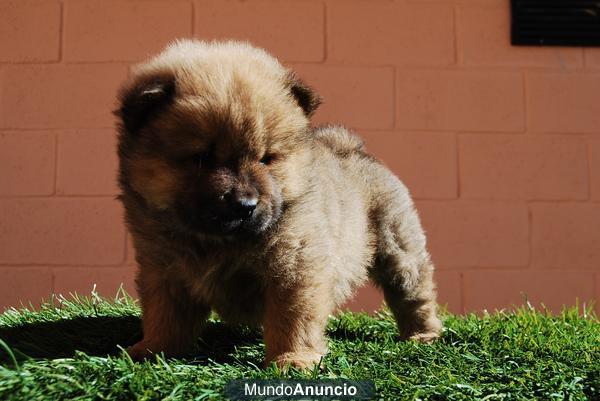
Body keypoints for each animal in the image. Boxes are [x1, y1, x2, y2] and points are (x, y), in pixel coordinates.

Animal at [117, 39, 442, 368]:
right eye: (202, 158)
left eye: (266, 158)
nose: (245, 204)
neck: (219, 242)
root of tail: (354, 148)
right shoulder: (163, 268)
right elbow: (165, 315)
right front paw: (153, 349)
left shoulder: (295, 266)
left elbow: (292, 319)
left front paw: (293, 359)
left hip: (397, 248)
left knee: (415, 293)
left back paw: (422, 334)